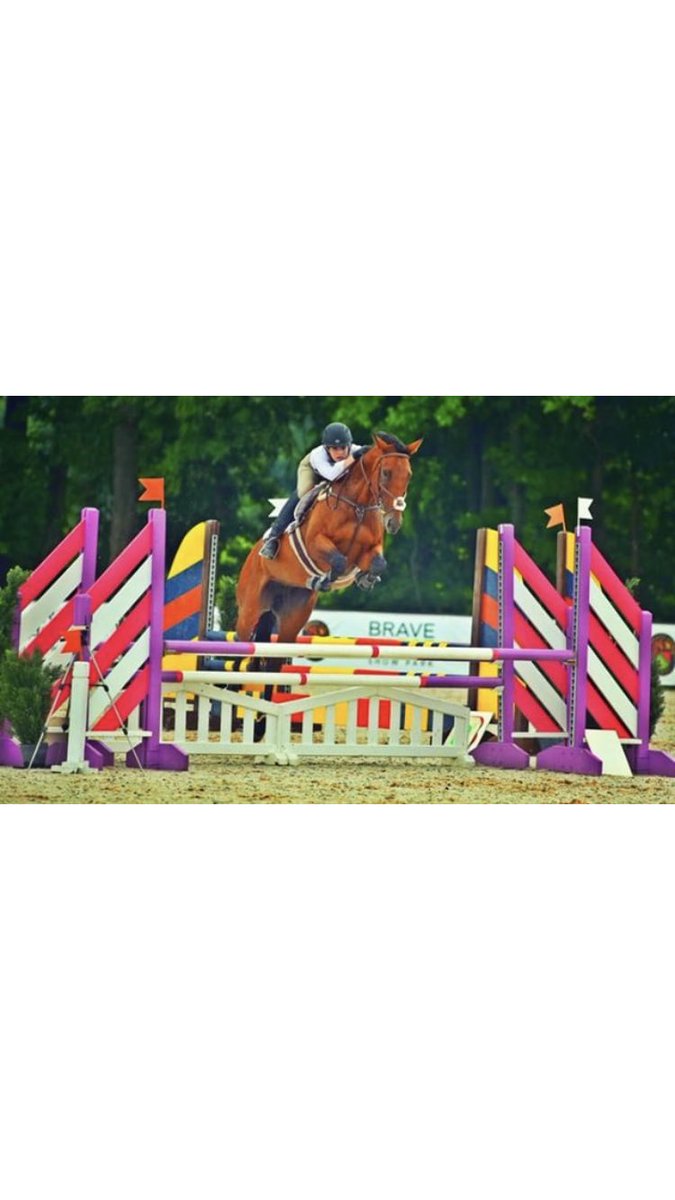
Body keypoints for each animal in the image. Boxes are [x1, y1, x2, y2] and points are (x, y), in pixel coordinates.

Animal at [235, 432, 423, 643]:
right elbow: (339, 561)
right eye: (386, 473)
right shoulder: (316, 543)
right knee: (241, 637)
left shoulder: (370, 550)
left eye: (409, 475)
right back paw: (270, 546)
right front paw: (324, 580)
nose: (393, 523)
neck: (358, 507)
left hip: (293, 614)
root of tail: (252, 556)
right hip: (250, 608)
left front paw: (366, 579)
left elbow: (379, 563)